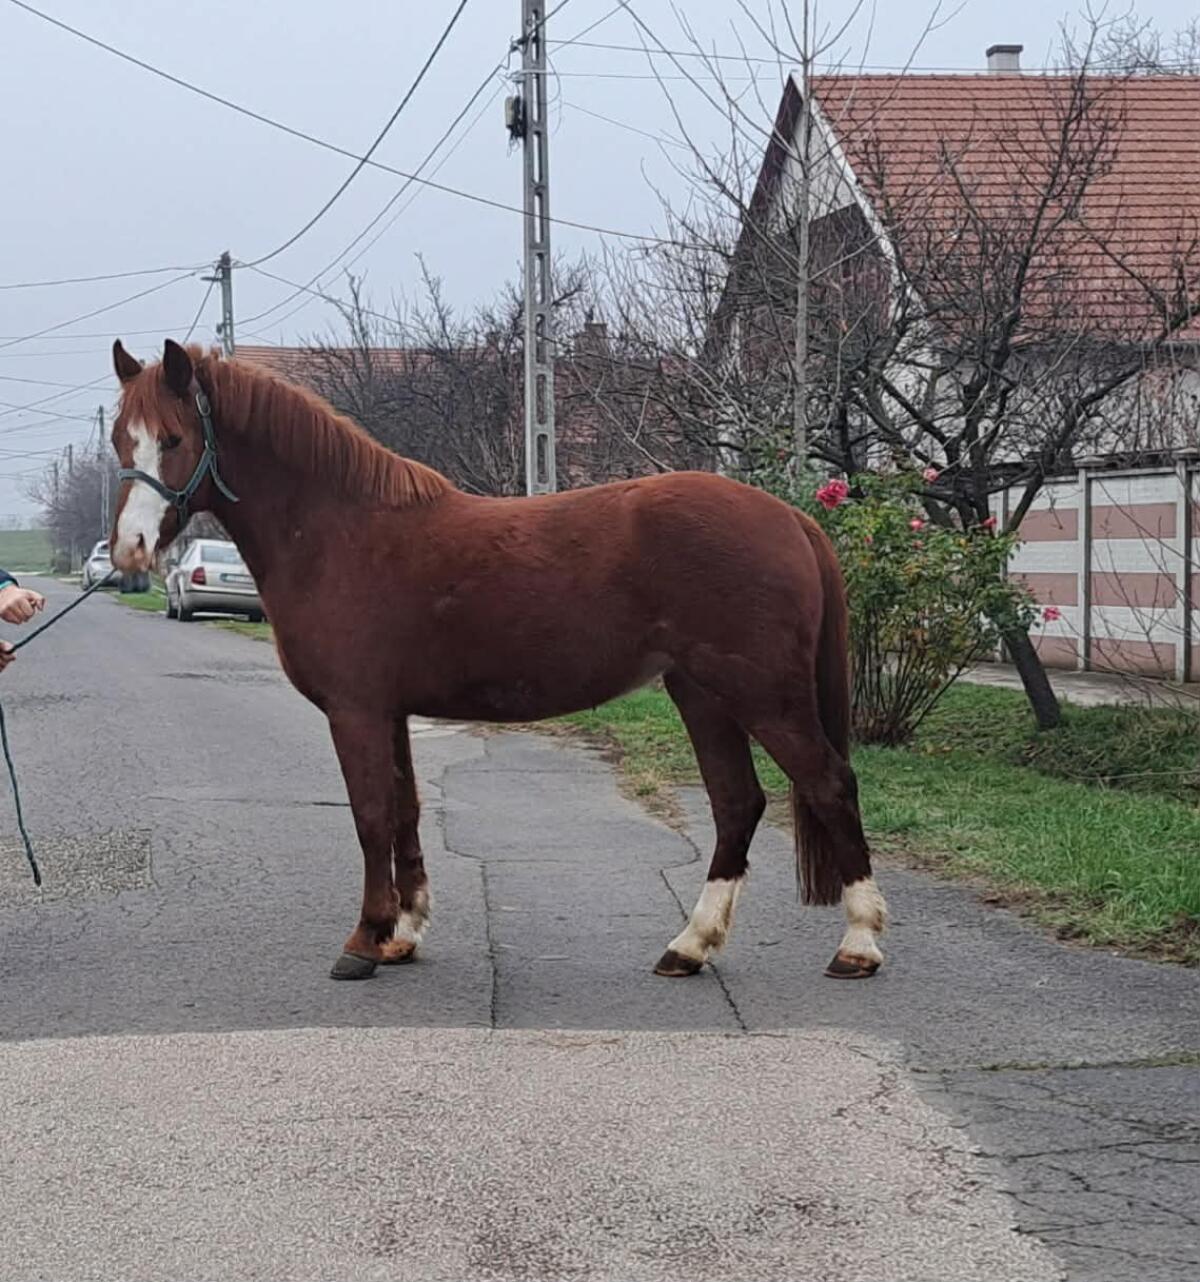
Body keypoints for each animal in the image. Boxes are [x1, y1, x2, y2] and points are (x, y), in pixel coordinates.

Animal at [108, 338, 888, 984]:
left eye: (174, 439)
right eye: (121, 440)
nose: (131, 549)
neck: (339, 530)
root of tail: (790, 516)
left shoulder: (356, 711)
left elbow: (370, 815)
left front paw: (363, 941)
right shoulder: (390, 712)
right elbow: (405, 810)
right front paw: (403, 933)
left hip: (761, 694)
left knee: (829, 783)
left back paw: (859, 944)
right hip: (702, 694)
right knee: (737, 804)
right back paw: (689, 946)